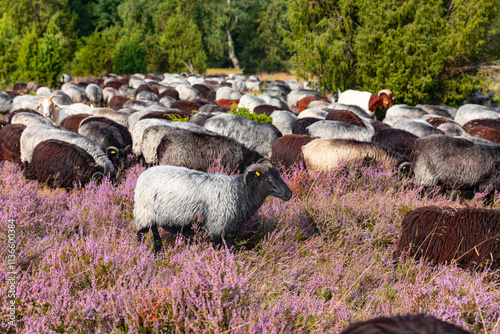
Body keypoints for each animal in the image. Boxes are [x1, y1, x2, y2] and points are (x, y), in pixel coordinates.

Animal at [134, 158, 292, 252]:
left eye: (279, 175)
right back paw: (141, 252)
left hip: (152, 216)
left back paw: (157, 252)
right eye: (269, 179)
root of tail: (143, 175)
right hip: (144, 213)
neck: (239, 193)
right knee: (141, 234)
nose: (289, 194)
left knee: (155, 235)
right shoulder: (216, 229)